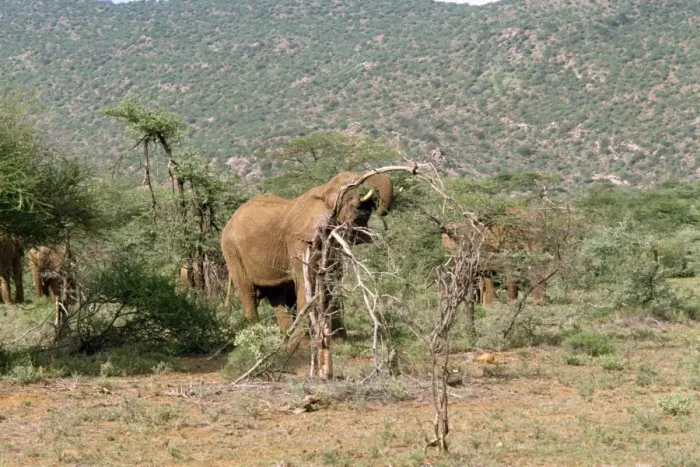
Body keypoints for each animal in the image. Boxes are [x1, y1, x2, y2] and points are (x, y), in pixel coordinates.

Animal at [221, 171, 393, 334]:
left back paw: (286, 336)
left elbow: (333, 277)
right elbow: (307, 277)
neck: (323, 190)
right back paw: (259, 333)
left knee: (277, 295)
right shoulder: (300, 239)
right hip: (232, 251)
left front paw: (339, 338)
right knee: (248, 294)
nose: (377, 206)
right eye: (348, 186)